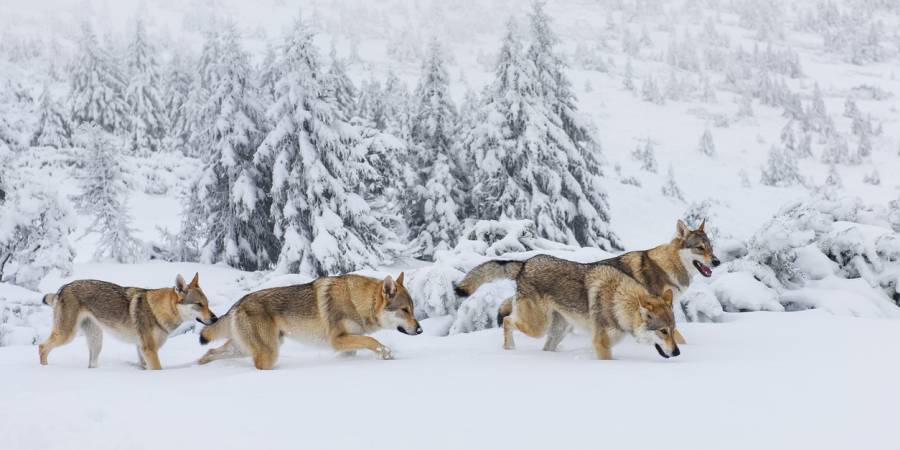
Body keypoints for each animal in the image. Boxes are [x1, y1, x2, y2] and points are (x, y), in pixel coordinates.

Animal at [40, 274, 220, 370]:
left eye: (207, 303)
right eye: (199, 304)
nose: (215, 318)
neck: (158, 311)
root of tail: (62, 288)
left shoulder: (141, 350)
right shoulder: (149, 350)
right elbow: (158, 369)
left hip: (96, 341)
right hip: (67, 335)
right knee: (42, 346)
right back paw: (45, 369)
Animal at [197, 270, 422, 370]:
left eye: (413, 310)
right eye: (404, 310)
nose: (419, 330)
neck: (357, 301)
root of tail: (237, 303)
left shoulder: (347, 343)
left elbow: (359, 347)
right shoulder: (337, 340)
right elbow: (372, 340)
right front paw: (387, 354)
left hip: (244, 348)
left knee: (210, 351)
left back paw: (199, 365)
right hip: (268, 353)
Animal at [454, 220, 720, 356]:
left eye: (711, 248)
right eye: (700, 249)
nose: (717, 261)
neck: (667, 266)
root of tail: (526, 262)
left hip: (555, 328)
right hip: (537, 326)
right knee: (508, 320)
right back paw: (509, 349)